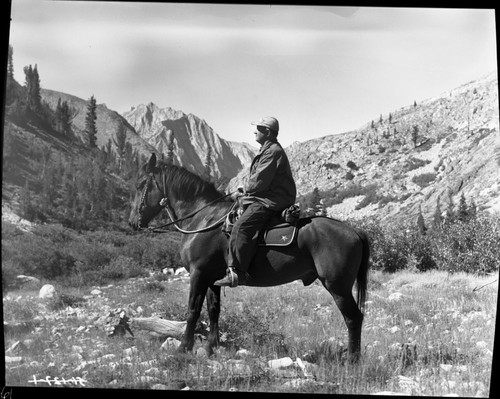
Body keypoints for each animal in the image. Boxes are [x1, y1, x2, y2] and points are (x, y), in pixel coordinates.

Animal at [129, 155, 370, 360]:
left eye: (140, 184)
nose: (132, 223)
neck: (204, 219)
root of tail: (354, 231)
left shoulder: (199, 274)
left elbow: (192, 311)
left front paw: (183, 348)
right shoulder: (212, 278)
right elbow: (213, 310)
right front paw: (211, 347)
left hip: (337, 287)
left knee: (353, 318)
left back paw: (352, 360)